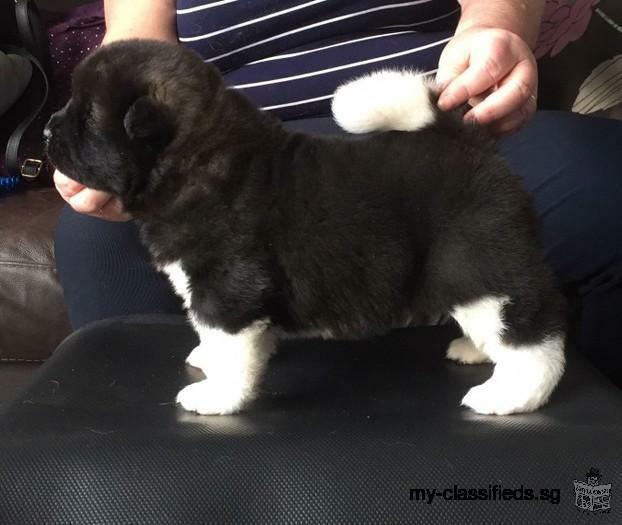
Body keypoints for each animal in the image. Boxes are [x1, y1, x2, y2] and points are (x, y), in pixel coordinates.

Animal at [46, 40, 568, 414]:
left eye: (88, 118)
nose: (48, 130)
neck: (196, 159)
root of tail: (472, 144)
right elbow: (220, 338)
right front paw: (209, 360)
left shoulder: (227, 287)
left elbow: (230, 349)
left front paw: (217, 396)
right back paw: (475, 349)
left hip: (482, 268)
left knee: (535, 341)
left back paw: (509, 395)